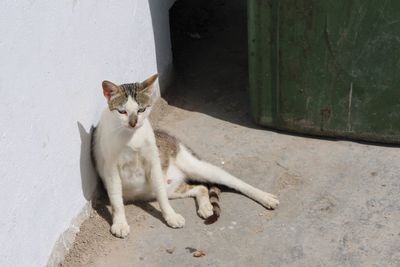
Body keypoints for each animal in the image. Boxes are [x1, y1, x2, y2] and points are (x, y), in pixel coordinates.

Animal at [91, 74, 278, 239]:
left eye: (141, 110)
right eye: (122, 112)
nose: (133, 122)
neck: (131, 136)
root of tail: (175, 140)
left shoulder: (153, 163)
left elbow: (162, 198)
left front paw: (170, 215)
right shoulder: (111, 170)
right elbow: (116, 200)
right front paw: (120, 223)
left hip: (196, 167)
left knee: (234, 181)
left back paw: (264, 197)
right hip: (171, 188)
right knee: (200, 188)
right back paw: (206, 207)